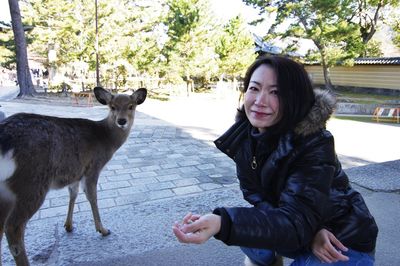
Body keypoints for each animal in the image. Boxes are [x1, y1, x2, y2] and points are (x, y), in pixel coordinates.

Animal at [0, 86, 147, 264]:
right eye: (112, 107)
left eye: (131, 106)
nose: (122, 121)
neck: (106, 140)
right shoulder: (93, 167)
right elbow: (92, 196)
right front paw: (103, 229)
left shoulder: (75, 172)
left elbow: (73, 194)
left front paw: (69, 226)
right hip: (32, 182)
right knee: (13, 226)